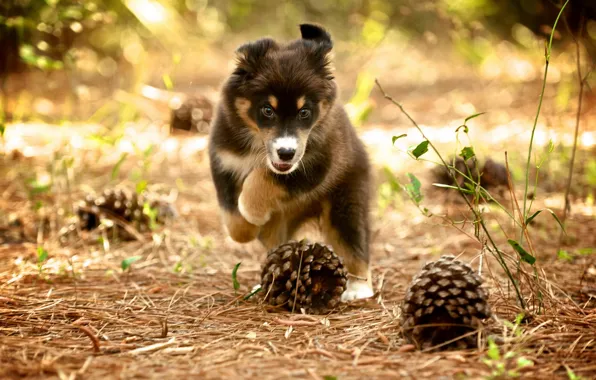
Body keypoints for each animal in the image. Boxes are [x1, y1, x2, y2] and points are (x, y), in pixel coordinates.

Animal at [207, 24, 370, 302]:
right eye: (267, 110)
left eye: (304, 112)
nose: (286, 153)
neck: (258, 145)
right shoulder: (224, 161)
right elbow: (231, 213)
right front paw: (246, 229)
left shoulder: (317, 164)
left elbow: (263, 179)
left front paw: (252, 211)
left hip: (346, 203)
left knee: (353, 242)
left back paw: (359, 288)